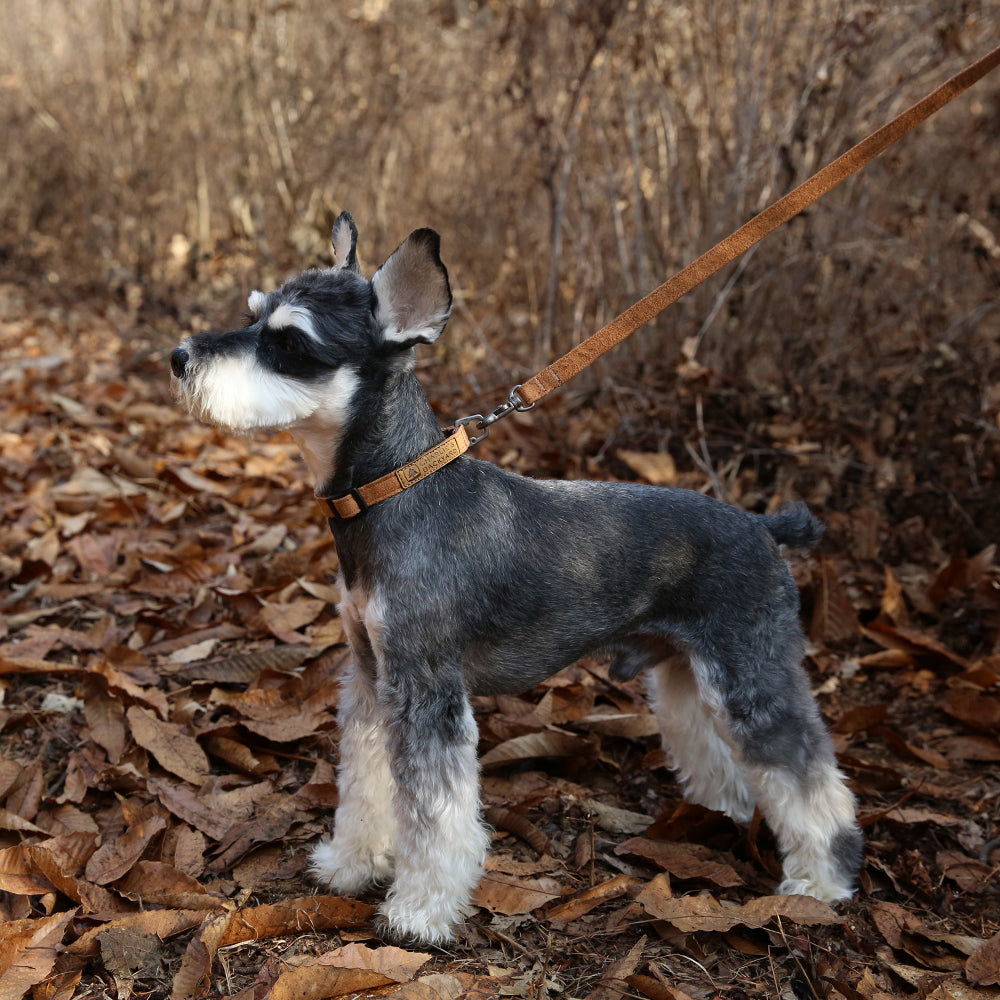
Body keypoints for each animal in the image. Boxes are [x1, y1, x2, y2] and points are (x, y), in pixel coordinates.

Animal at [170, 211, 860, 944]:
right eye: (253, 314)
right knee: (725, 761)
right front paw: (352, 863)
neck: (392, 489)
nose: (178, 358)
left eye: (290, 341)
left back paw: (821, 881)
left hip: (750, 677)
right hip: (684, 671)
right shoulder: (372, 679)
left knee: (811, 779)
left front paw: (420, 911)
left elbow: (436, 816)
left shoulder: (426, 691)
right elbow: (365, 780)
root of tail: (763, 526)